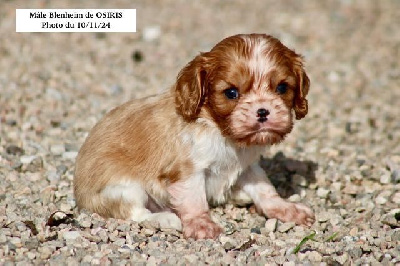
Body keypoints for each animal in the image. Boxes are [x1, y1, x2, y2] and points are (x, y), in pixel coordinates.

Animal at [73, 33, 314, 239]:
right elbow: (194, 201)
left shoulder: (248, 166)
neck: (221, 133)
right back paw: (165, 218)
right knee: (134, 213)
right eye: (231, 93)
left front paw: (286, 209)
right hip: (124, 189)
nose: (263, 111)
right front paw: (201, 225)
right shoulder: (187, 172)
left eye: (282, 88)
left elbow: (265, 189)